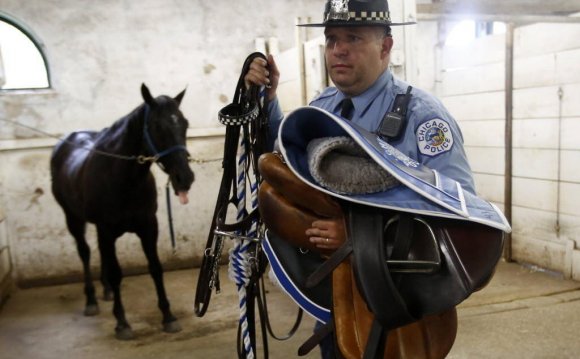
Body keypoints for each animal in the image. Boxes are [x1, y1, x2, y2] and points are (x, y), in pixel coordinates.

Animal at [50, 83, 195, 340]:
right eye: (157, 126)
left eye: (185, 123)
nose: (184, 178)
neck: (124, 178)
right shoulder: (107, 230)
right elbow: (117, 273)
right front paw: (122, 323)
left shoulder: (149, 226)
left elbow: (156, 268)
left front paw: (168, 317)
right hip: (73, 218)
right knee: (85, 252)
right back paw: (91, 300)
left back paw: (106, 290)